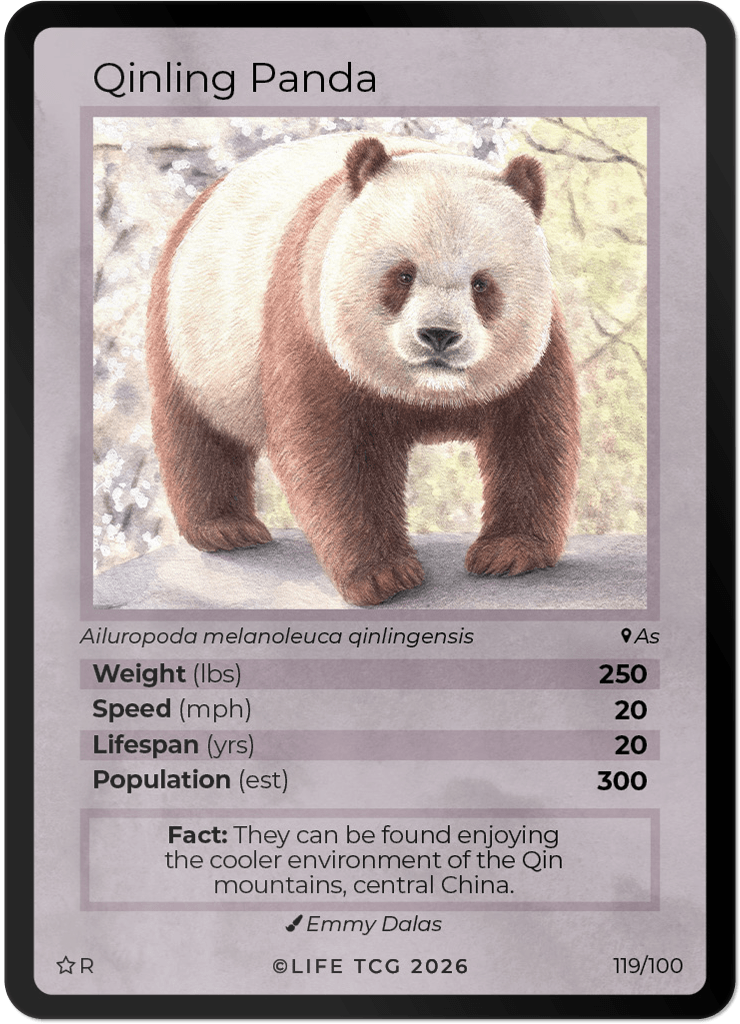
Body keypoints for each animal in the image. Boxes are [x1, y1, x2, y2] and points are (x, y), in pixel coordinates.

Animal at [146, 133, 580, 607]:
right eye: (403, 275)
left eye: (482, 284)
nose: (439, 336)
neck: (428, 392)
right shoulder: (313, 327)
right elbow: (333, 456)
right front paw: (383, 576)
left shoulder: (534, 352)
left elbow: (532, 436)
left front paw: (510, 552)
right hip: (191, 331)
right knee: (194, 432)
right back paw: (225, 529)